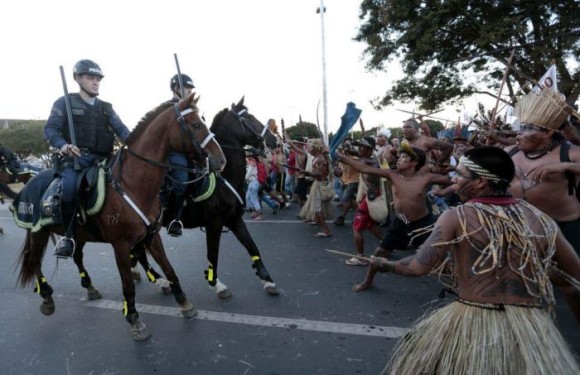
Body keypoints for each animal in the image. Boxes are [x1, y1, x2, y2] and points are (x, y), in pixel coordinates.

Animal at [13, 94, 227, 340]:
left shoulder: (152, 236)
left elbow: (169, 268)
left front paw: (184, 303)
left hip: (78, 234)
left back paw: (90, 287)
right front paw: (134, 319)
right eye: (196, 125)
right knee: (35, 261)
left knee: (76, 256)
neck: (131, 184)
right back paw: (47, 297)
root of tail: (30, 180)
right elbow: (127, 284)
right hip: (38, 232)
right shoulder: (120, 244)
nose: (220, 160)